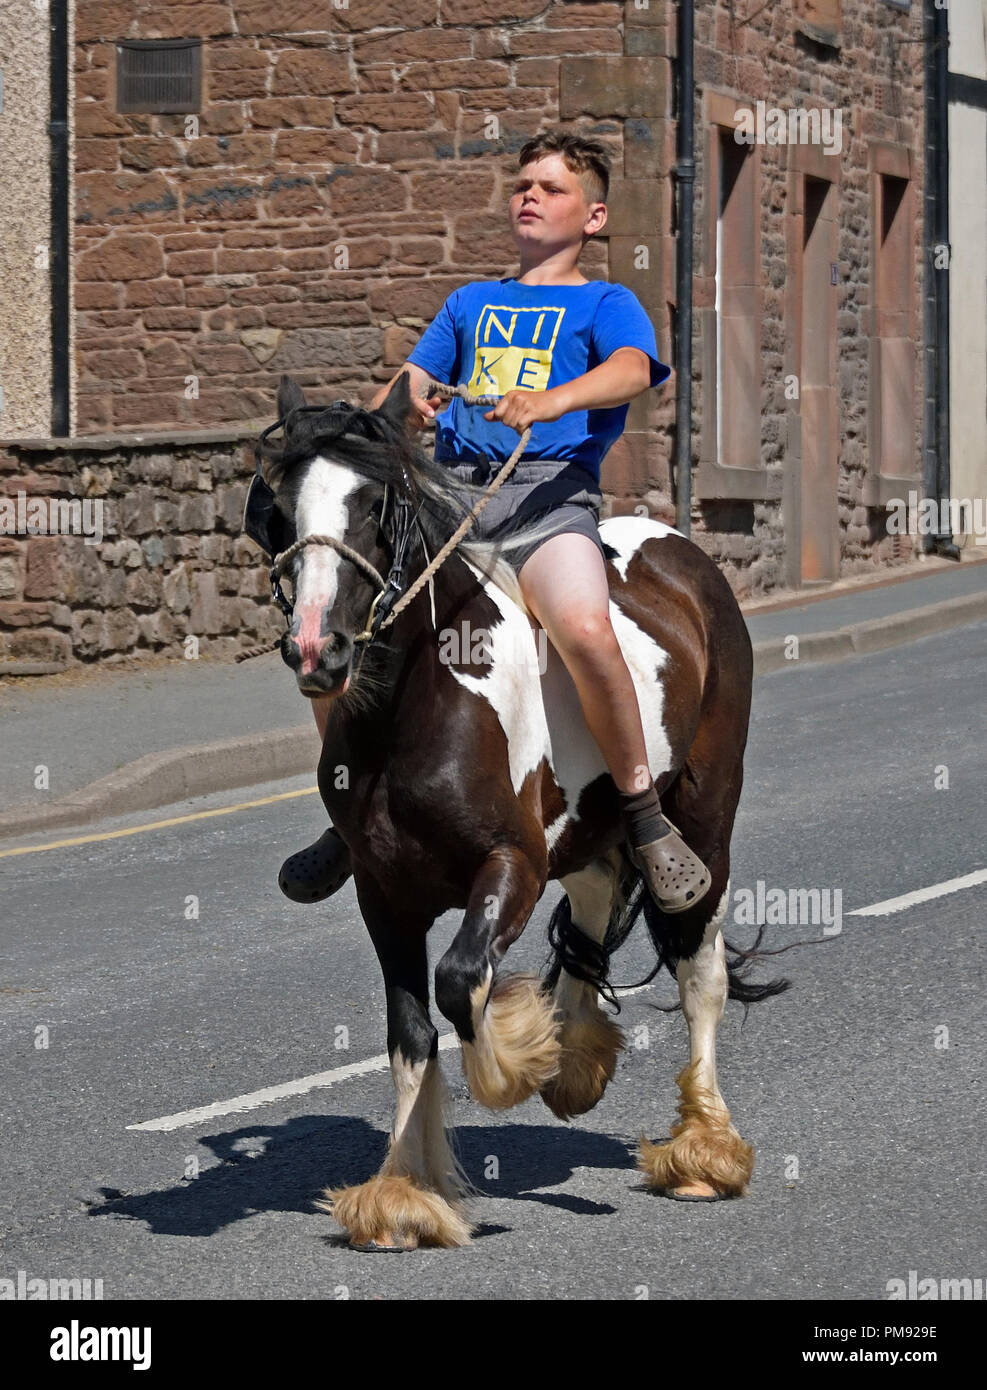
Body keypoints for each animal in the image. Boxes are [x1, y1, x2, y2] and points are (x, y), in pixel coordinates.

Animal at [248, 375, 789, 1256]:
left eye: (371, 503)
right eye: (282, 508)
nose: (317, 649)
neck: (420, 704)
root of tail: (678, 550)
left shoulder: (511, 866)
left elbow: (459, 979)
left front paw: (514, 1061)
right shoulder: (383, 894)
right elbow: (412, 1033)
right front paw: (401, 1197)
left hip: (705, 814)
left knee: (696, 965)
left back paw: (702, 1150)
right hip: (588, 830)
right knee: (598, 904)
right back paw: (576, 1060)